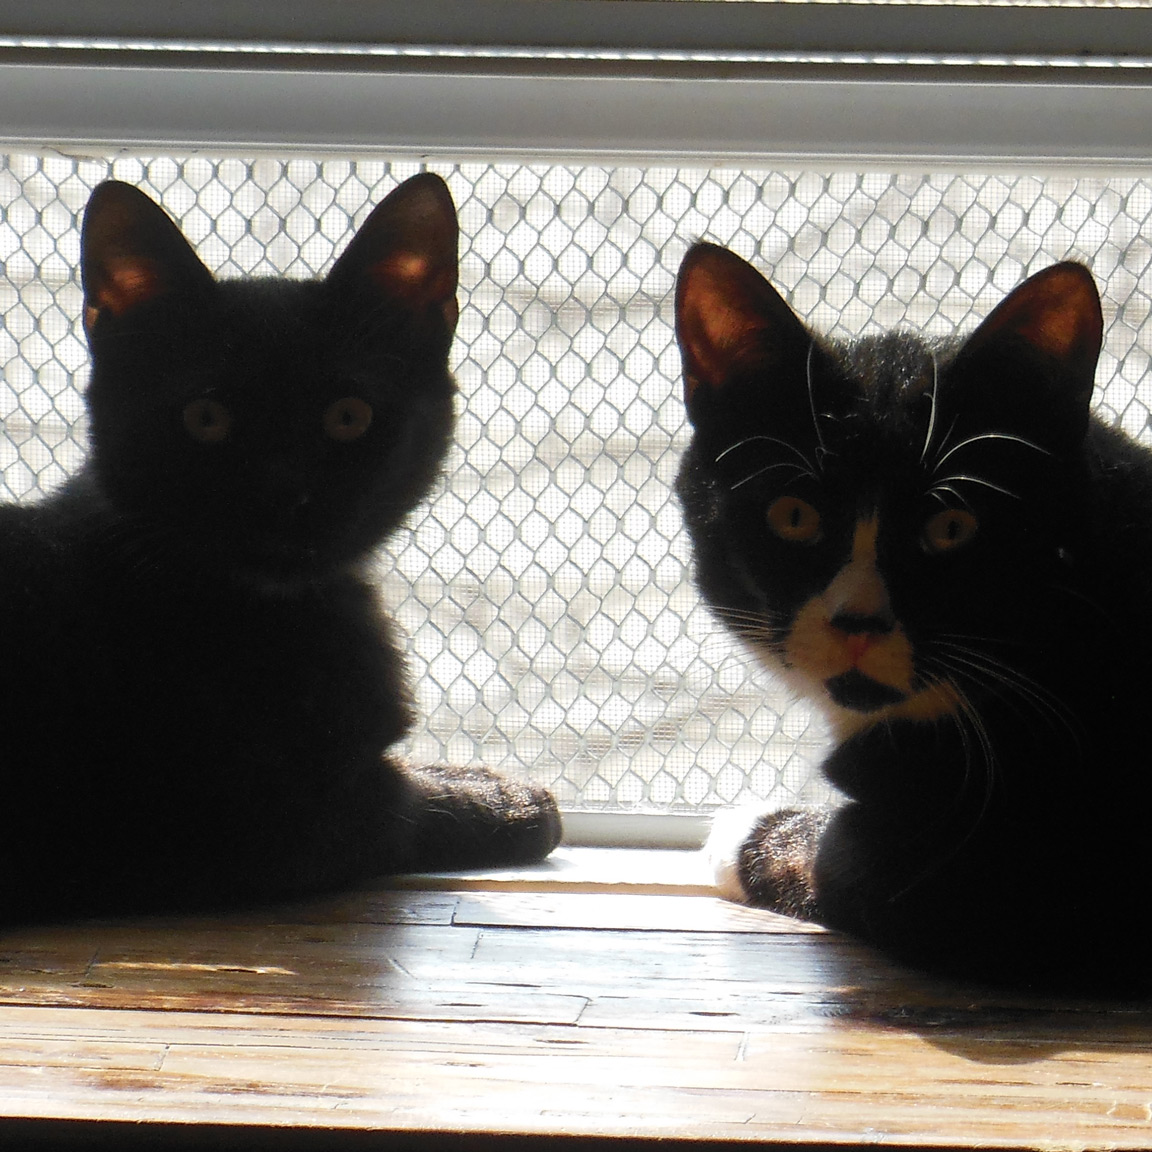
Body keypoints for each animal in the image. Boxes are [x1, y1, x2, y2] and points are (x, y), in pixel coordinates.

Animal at [0, 174, 560, 923]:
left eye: (348, 416)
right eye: (206, 417)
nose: (283, 495)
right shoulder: (259, 823)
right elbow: (403, 805)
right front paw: (503, 798)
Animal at [675, 241, 1152, 991]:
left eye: (951, 527)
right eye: (794, 515)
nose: (858, 624)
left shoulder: (1026, 889)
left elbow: (851, 860)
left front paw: (741, 831)